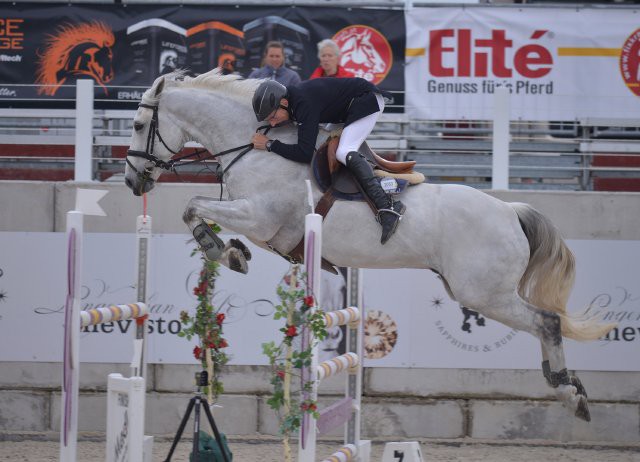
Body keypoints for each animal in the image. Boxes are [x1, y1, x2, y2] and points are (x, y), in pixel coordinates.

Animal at [124, 69, 616, 422]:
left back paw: (570, 393)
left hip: (483, 293)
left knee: (547, 322)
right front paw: (231, 252)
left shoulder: (258, 216)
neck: (253, 145)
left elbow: (191, 205)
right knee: (545, 322)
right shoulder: (267, 229)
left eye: (139, 123)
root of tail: (510, 210)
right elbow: (200, 211)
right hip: (477, 291)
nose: (132, 182)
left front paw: (220, 250)